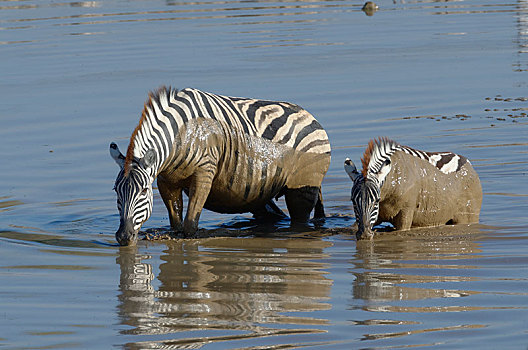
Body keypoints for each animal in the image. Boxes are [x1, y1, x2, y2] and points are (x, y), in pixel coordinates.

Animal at [109, 87, 330, 246]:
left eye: (144, 191)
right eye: (116, 191)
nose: (123, 237)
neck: (179, 137)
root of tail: (310, 117)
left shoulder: (204, 172)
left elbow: (190, 226)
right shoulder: (166, 181)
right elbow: (176, 224)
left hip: (302, 189)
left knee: (299, 223)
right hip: (259, 194)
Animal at [342, 138, 482, 239]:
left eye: (376, 200)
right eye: (353, 201)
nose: (364, 235)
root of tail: (467, 163)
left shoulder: (406, 212)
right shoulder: (376, 216)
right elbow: (355, 225)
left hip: (466, 217)